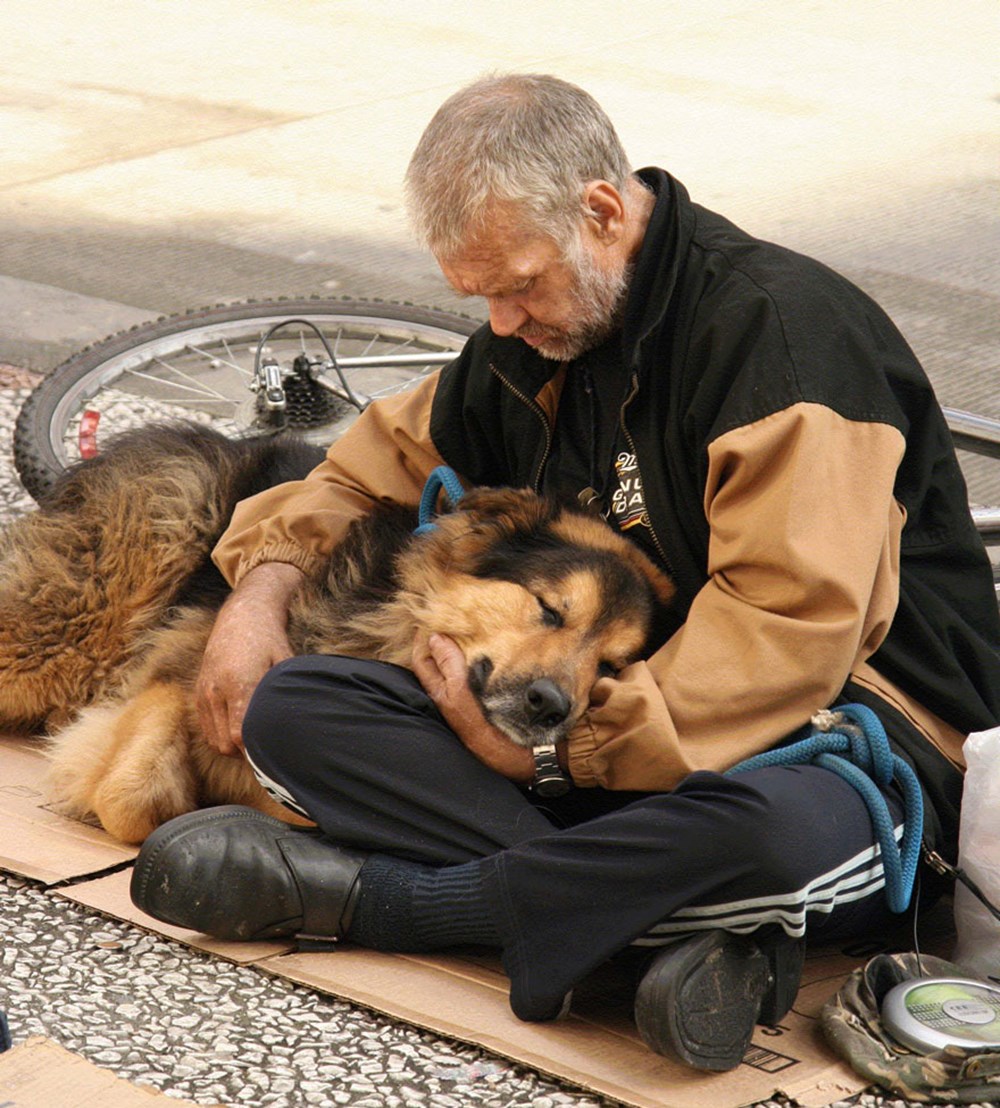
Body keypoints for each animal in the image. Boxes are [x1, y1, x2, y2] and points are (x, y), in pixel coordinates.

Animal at [0, 421, 677, 837]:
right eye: (550, 609)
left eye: (612, 667)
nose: (552, 706)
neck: (396, 625)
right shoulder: (196, 669)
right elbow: (133, 789)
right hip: (72, 628)